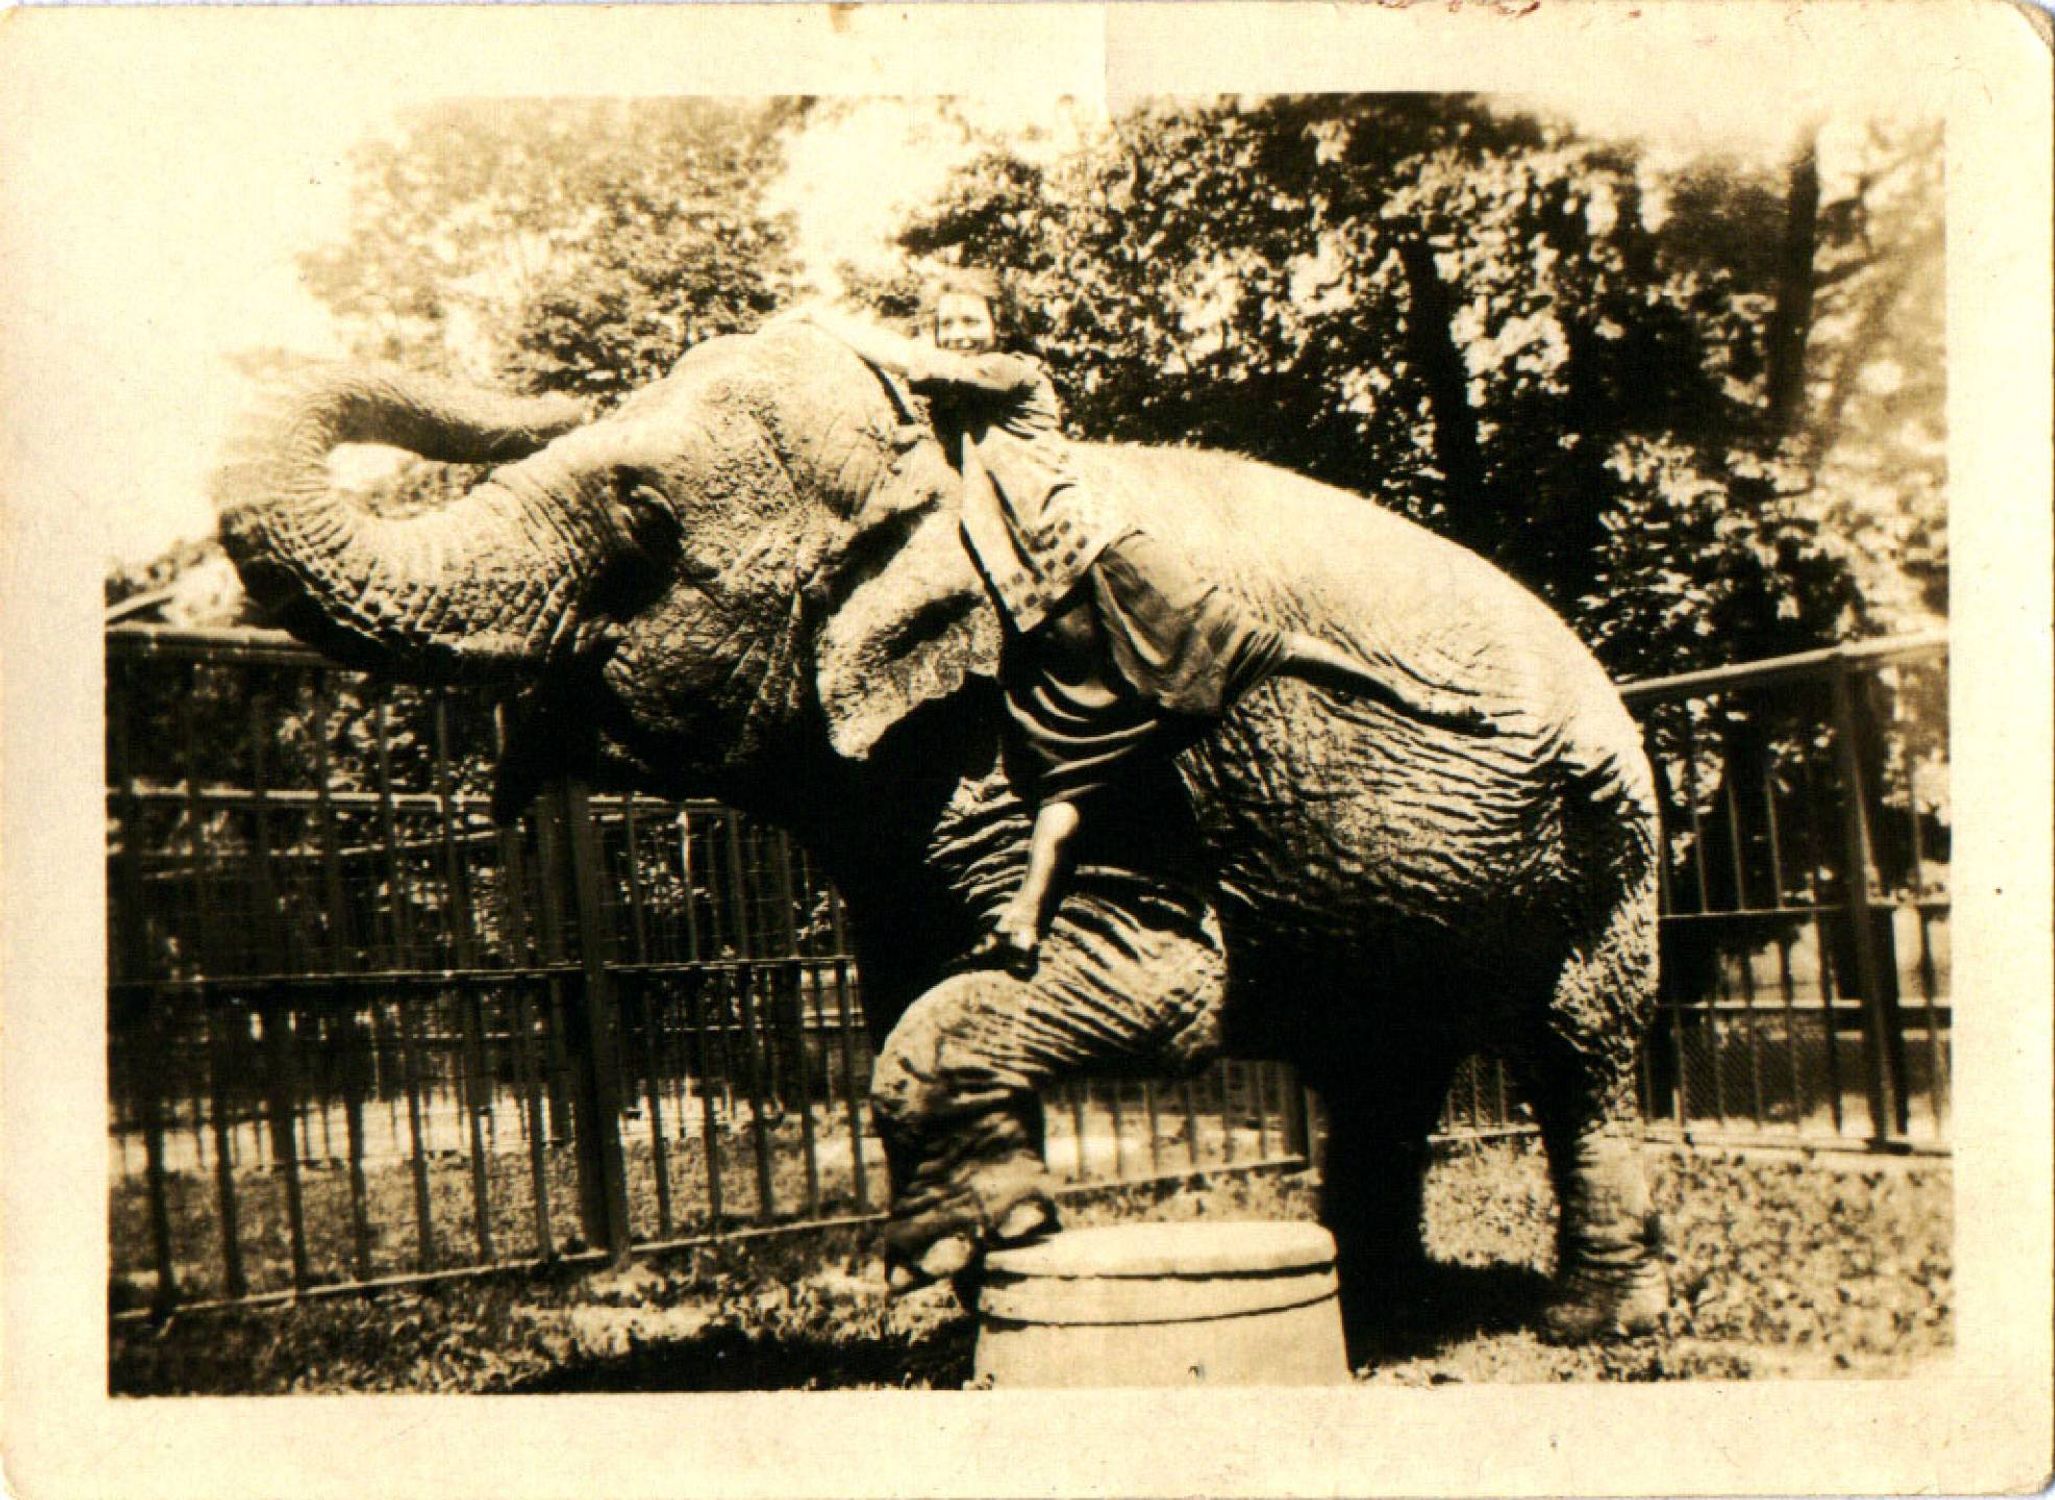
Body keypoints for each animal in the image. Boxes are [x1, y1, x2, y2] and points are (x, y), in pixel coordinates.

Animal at [220, 324, 1668, 1347]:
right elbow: (911, 978)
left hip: (1608, 840)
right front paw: (974, 1252)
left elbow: (1154, 979)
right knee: (1378, 1067)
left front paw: (969, 1242)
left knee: (1575, 1046)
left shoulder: (1071, 729)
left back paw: (1589, 1324)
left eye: (639, 524)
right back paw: (1373, 1301)